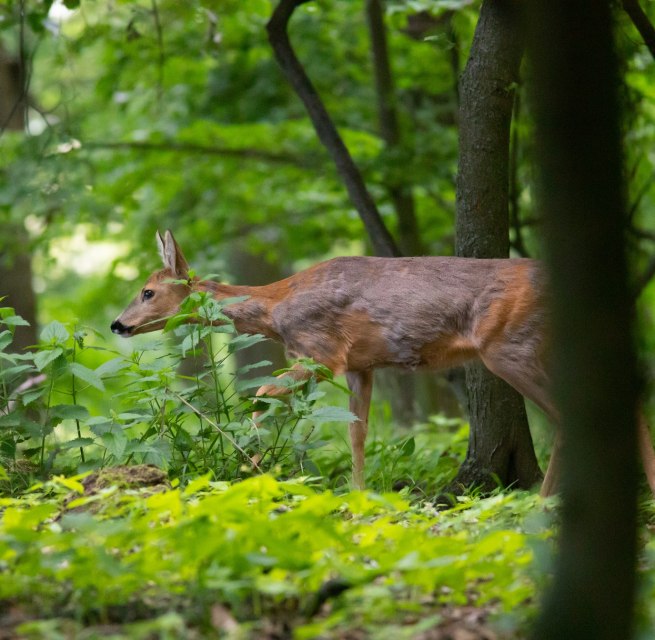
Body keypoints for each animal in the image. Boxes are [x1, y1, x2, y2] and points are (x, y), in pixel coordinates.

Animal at [110, 230, 655, 496]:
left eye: (148, 291)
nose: (117, 324)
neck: (275, 309)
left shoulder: (322, 352)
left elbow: (263, 394)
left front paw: (249, 465)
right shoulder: (361, 365)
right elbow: (357, 432)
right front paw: (357, 495)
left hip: (511, 347)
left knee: (577, 416)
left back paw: (546, 503)